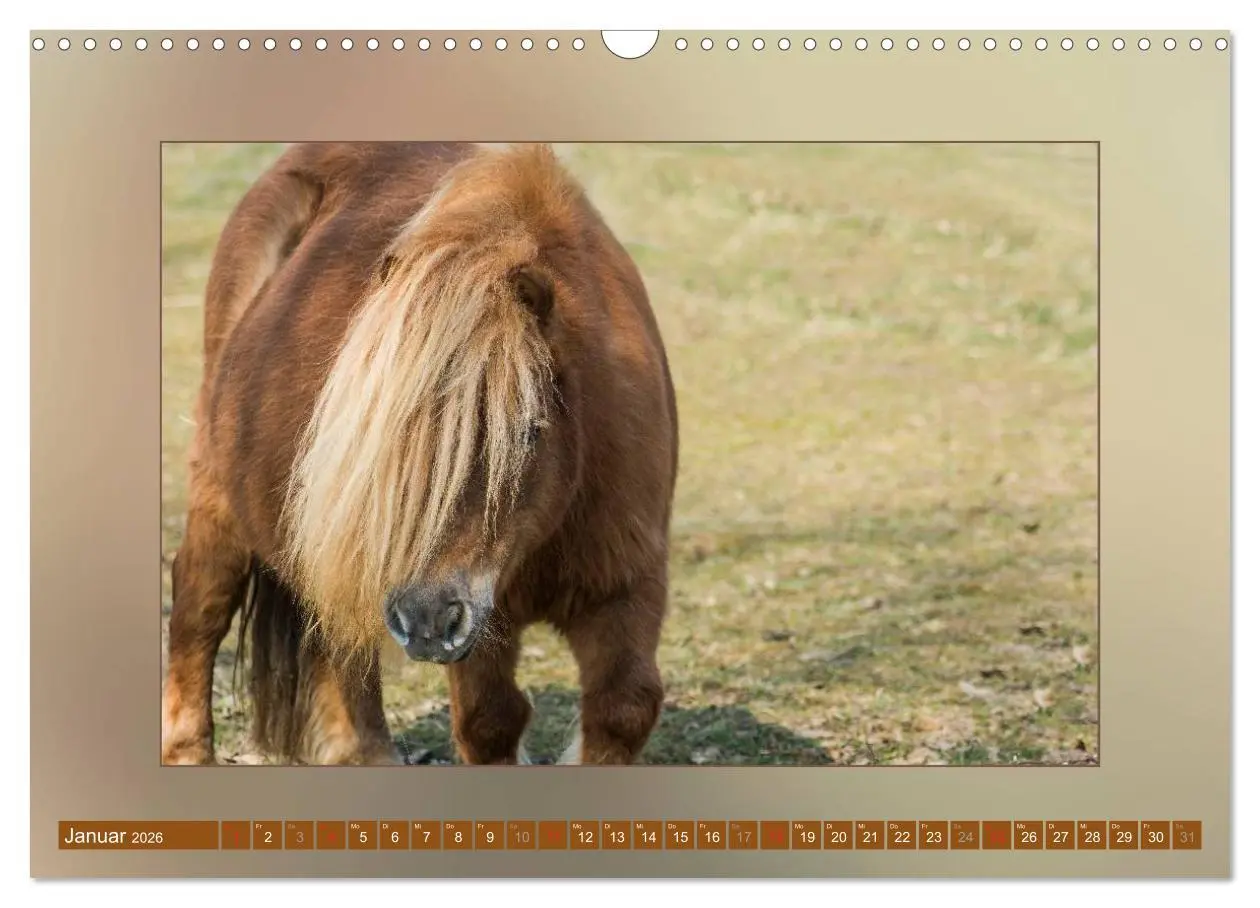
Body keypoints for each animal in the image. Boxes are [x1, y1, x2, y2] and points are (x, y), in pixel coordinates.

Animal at [161, 143, 678, 766]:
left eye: (529, 432)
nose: (427, 618)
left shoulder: (627, 582)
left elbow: (624, 707)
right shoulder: (487, 618)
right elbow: (492, 720)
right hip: (219, 497)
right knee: (200, 609)